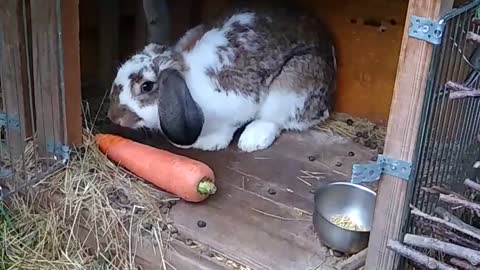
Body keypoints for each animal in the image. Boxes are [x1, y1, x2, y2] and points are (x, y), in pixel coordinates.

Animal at [107, 6, 336, 153]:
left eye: (146, 86)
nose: (113, 117)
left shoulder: (238, 102)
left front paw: (211, 143)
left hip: (292, 87)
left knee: (278, 119)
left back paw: (252, 140)